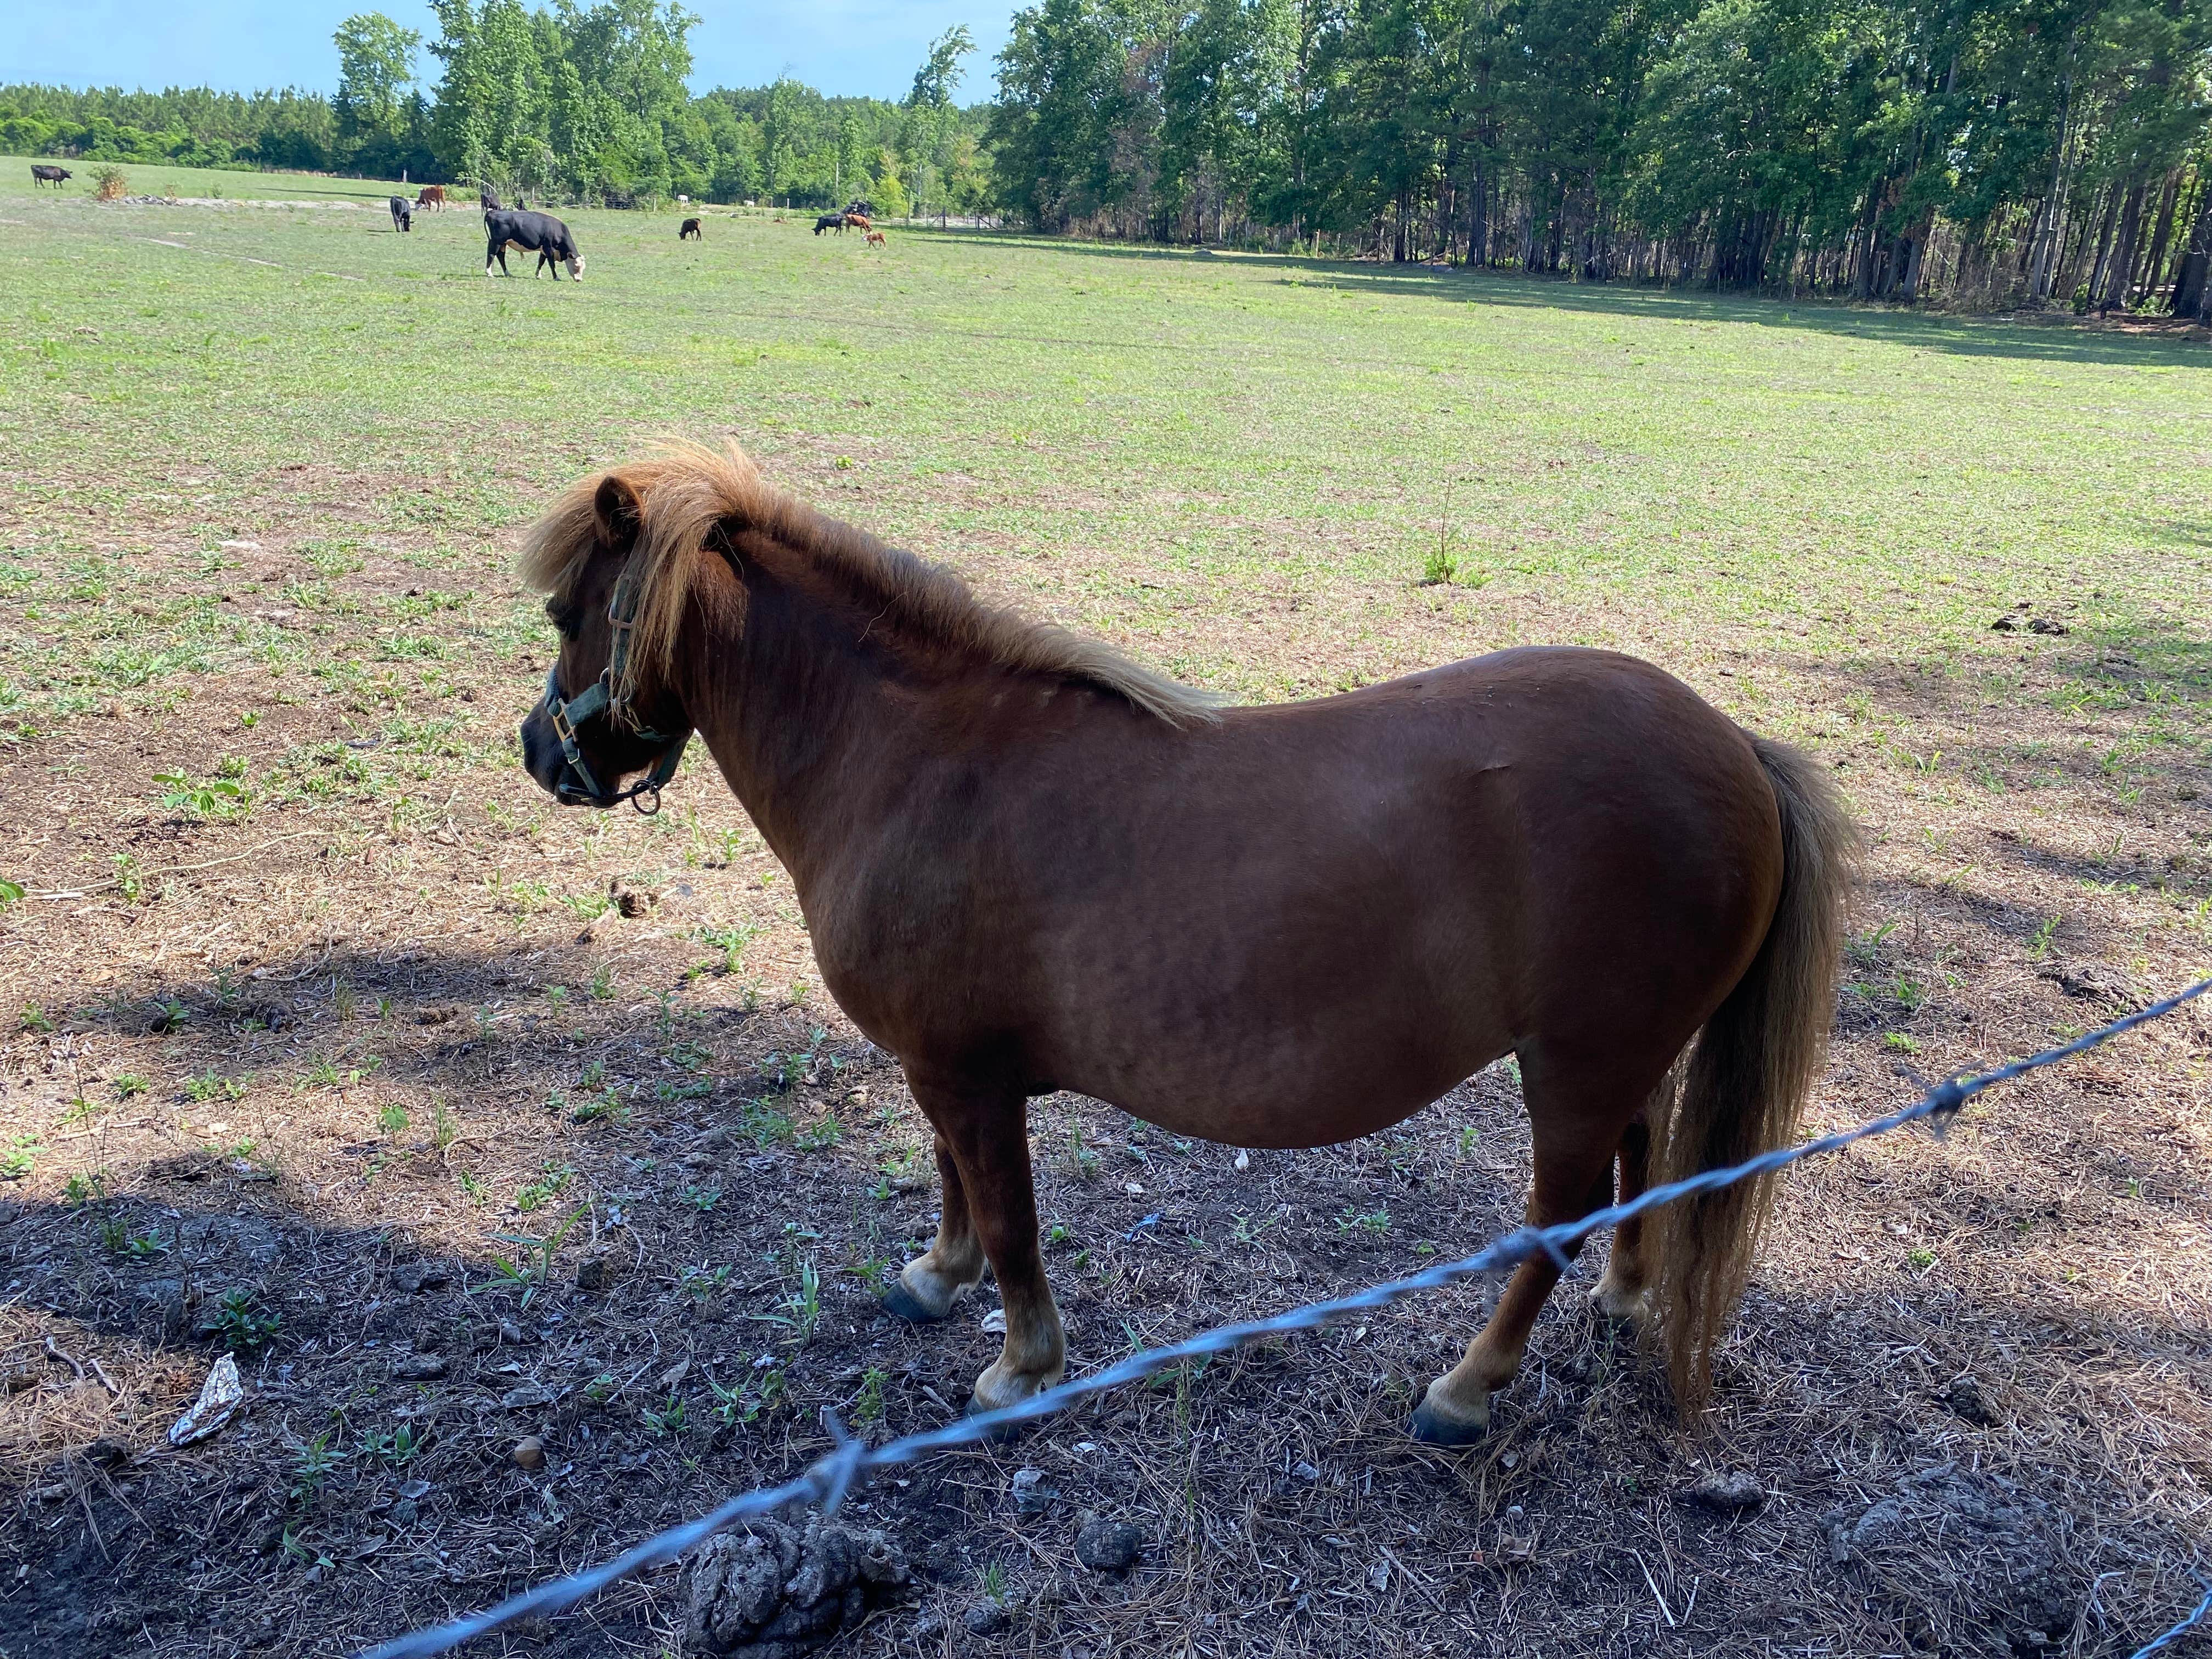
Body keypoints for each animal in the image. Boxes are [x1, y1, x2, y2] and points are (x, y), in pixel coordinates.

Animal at [484, 207, 583, 280]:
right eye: (576, 266)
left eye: (583, 268)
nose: (579, 280)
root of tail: (494, 211)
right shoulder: (549, 249)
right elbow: (551, 264)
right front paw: (556, 278)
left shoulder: (544, 249)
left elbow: (541, 262)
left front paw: (538, 275)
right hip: (496, 242)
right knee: (492, 254)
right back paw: (489, 273)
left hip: (503, 243)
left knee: (500, 256)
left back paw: (507, 273)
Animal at [514, 442, 1856, 1440]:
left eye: (568, 611)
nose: (543, 755)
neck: (913, 760)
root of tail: (1736, 747)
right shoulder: (942, 1067)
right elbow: (953, 1179)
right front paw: (936, 1277)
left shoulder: (966, 1073)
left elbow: (1008, 1214)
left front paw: (1020, 1363)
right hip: (1612, 1055)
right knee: (1645, 1154)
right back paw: (1626, 1294)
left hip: (1571, 1070)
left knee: (1559, 1215)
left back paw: (1467, 1387)